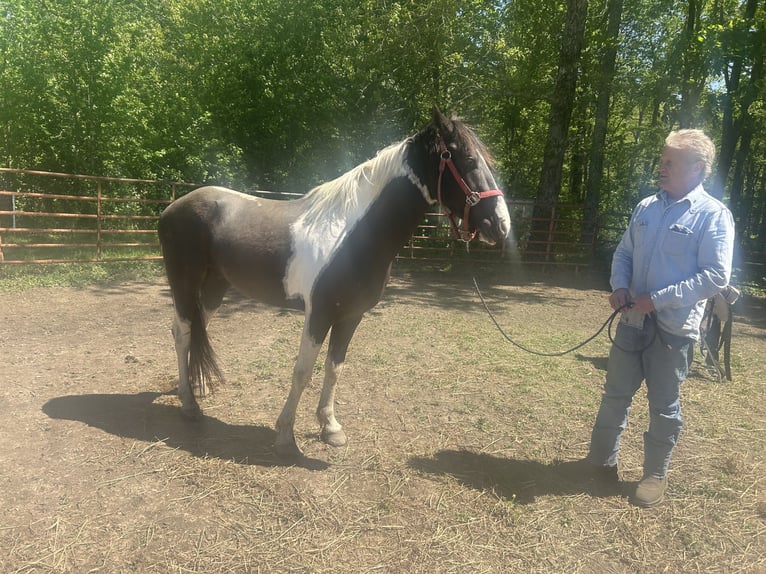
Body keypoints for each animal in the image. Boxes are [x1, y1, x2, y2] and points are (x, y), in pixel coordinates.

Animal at [158, 107, 511, 457]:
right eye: (466, 159)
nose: (501, 225)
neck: (352, 236)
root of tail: (172, 207)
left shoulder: (351, 315)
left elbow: (334, 367)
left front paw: (330, 427)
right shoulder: (320, 313)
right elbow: (302, 371)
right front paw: (285, 435)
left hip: (214, 288)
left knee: (196, 329)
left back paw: (192, 388)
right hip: (184, 283)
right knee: (182, 332)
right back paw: (189, 405)